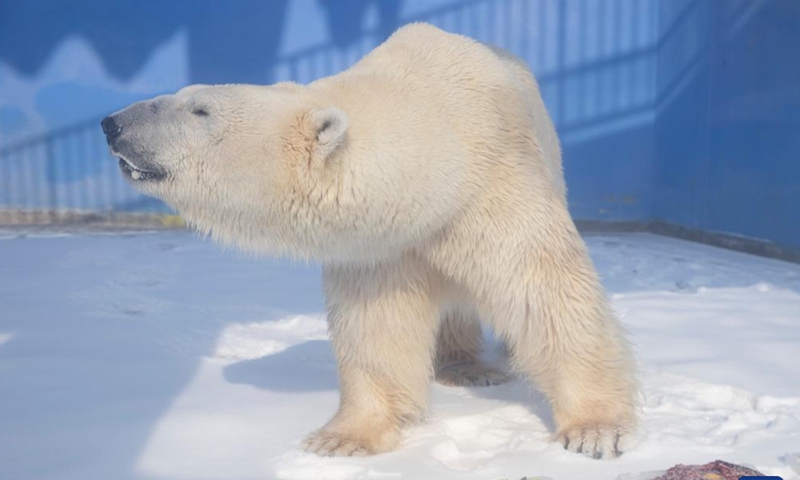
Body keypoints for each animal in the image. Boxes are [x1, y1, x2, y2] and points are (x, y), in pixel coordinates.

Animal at [101, 24, 636, 460]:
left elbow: (543, 288)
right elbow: (376, 326)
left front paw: (594, 430)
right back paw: (463, 366)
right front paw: (344, 438)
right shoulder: (382, 246)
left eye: (200, 108)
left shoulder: (493, 184)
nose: (112, 124)